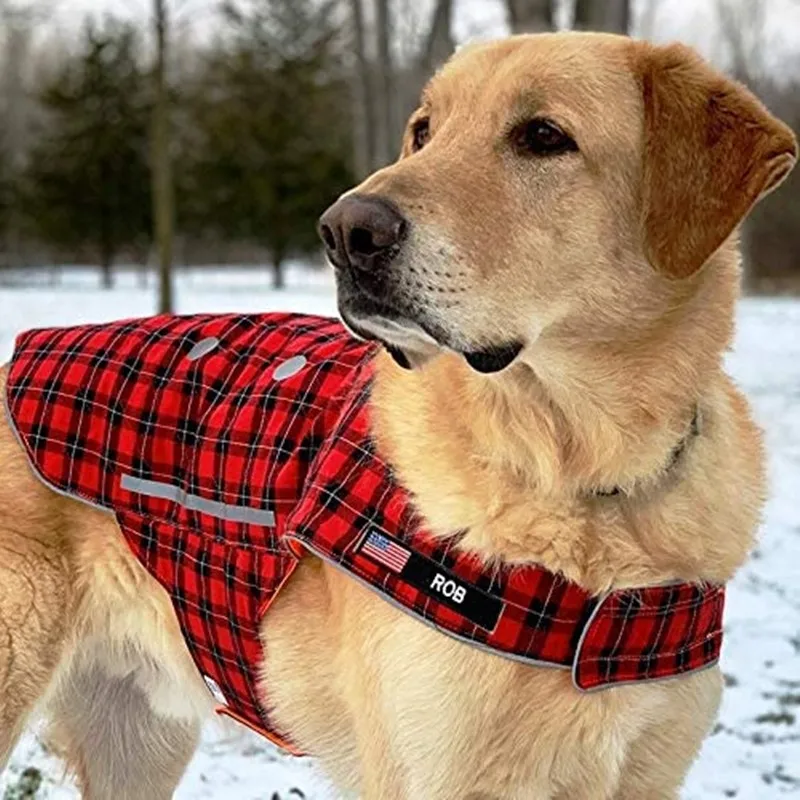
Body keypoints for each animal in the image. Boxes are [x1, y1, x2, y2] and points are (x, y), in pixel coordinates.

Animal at [3, 31, 796, 800]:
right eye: (423, 131)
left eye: (544, 136)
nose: (344, 230)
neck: (581, 482)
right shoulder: (435, 770)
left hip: (139, 736)